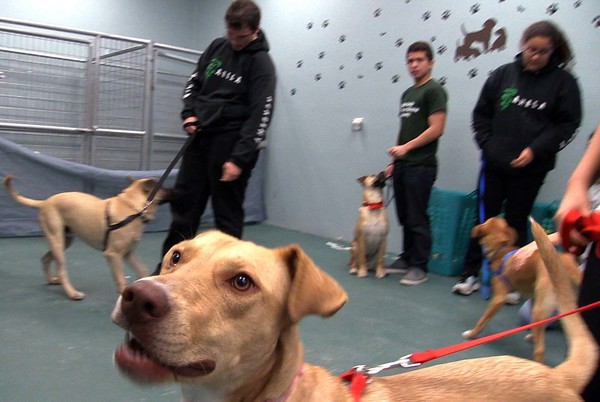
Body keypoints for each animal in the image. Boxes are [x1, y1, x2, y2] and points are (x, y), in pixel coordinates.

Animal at [3, 176, 171, 300]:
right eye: (163, 187)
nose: (174, 191)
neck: (132, 208)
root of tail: (45, 202)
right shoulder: (113, 254)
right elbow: (121, 279)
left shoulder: (129, 254)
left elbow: (142, 270)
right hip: (57, 241)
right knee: (61, 269)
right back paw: (72, 293)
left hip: (64, 240)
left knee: (45, 259)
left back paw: (52, 280)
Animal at [464, 216, 582, 363]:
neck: (501, 249)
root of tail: (569, 268)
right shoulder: (534, 298)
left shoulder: (498, 299)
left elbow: (483, 319)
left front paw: (472, 333)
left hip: (539, 310)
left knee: (540, 350)